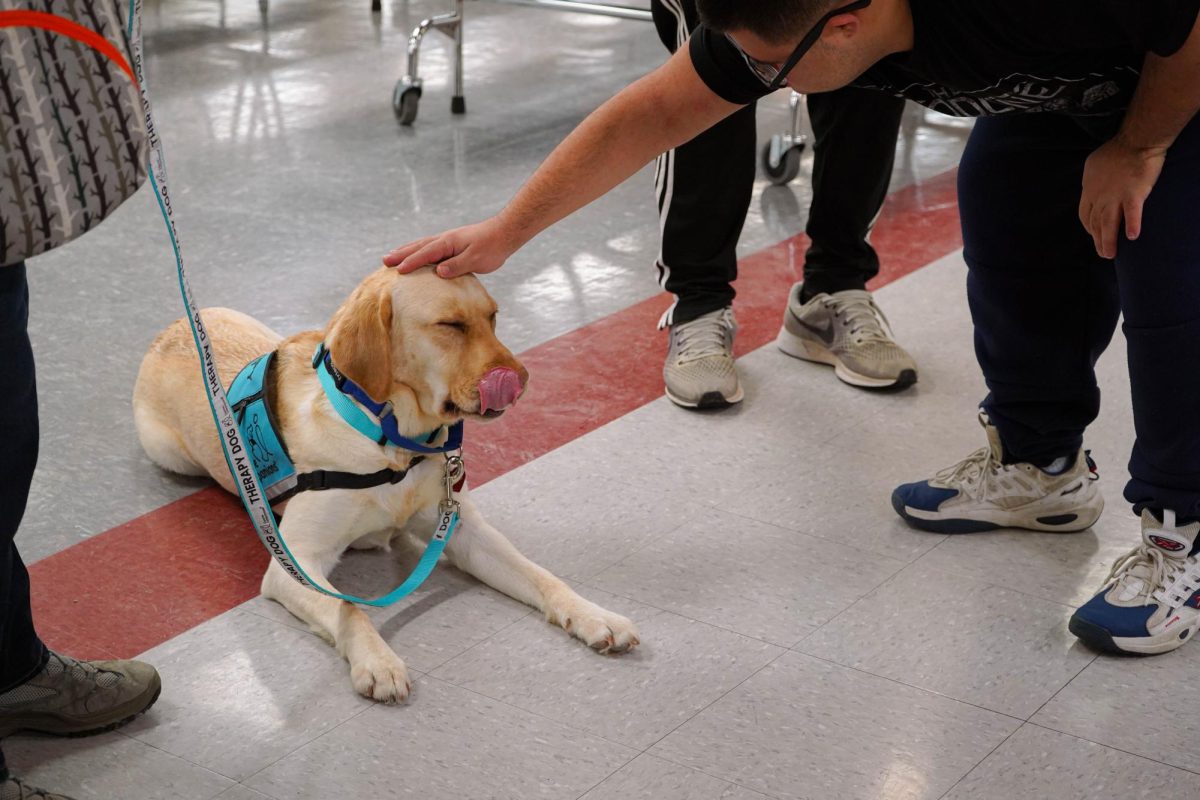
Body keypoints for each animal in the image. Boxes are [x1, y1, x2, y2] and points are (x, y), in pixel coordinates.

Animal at [131, 267, 638, 700]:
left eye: (493, 316)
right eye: (450, 325)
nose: (521, 379)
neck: (391, 442)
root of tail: (170, 327)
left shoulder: (464, 532)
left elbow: (542, 576)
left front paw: (594, 615)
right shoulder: (295, 564)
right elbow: (349, 608)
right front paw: (378, 662)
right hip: (168, 451)